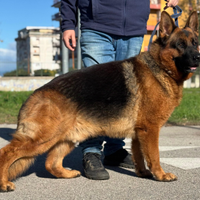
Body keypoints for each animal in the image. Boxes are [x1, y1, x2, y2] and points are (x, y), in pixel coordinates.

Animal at [0, 11, 200, 192]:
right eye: (180, 45)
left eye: (195, 43)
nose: (198, 57)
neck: (160, 67)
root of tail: (34, 95)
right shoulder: (149, 129)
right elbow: (154, 156)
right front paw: (160, 175)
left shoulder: (139, 133)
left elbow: (139, 156)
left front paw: (143, 173)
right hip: (42, 139)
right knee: (7, 153)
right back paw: (4, 184)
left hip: (66, 138)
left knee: (51, 163)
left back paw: (67, 173)